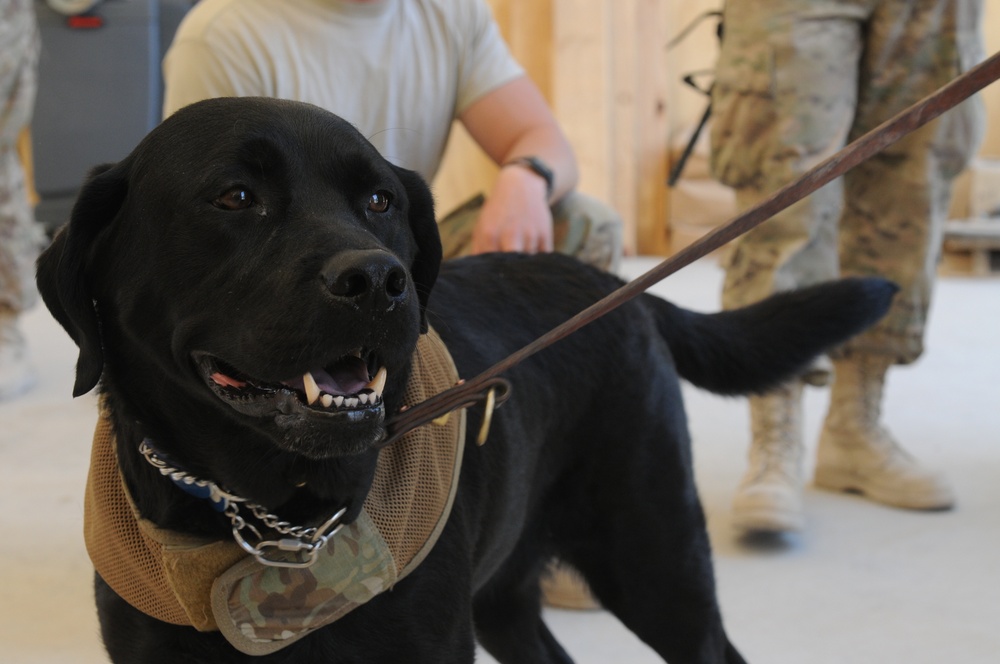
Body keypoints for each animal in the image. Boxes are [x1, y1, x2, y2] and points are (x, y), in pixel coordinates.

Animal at [37, 96, 900, 660]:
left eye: (380, 199)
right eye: (235, 196)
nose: (379, 282)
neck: (270, 516)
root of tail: (611, 283)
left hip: (657, 560)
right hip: (509, 593)